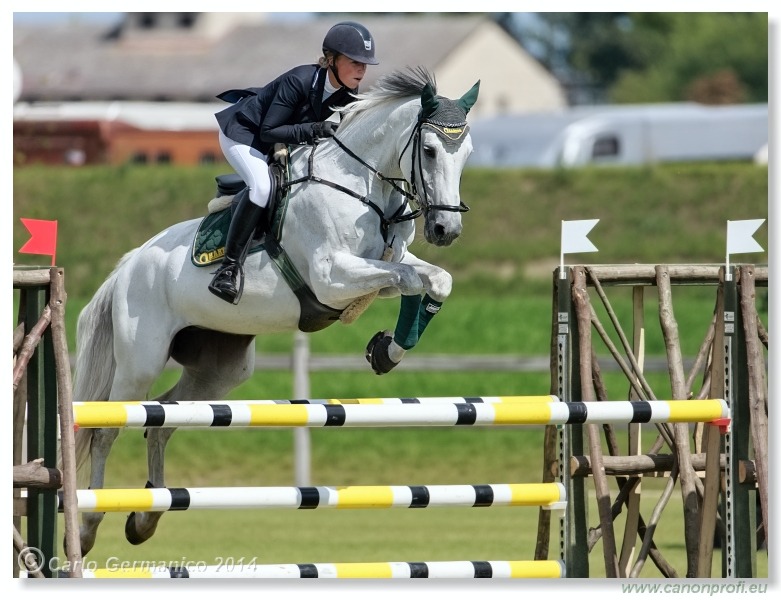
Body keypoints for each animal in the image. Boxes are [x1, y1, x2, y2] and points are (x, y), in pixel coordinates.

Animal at [73, 67, 478, 552]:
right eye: (430, 150)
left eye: (467, 153)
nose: (446, 229)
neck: (361, 183)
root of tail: (128, 265)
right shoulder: (333, 277)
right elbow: (407, 279)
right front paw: (384, 347)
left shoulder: (385, 265)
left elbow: (433, 279)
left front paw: (387, 351)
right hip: (139, 362)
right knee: (108, 427)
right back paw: (90, 523)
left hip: (221, 368)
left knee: (164, 420)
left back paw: (146, 516)